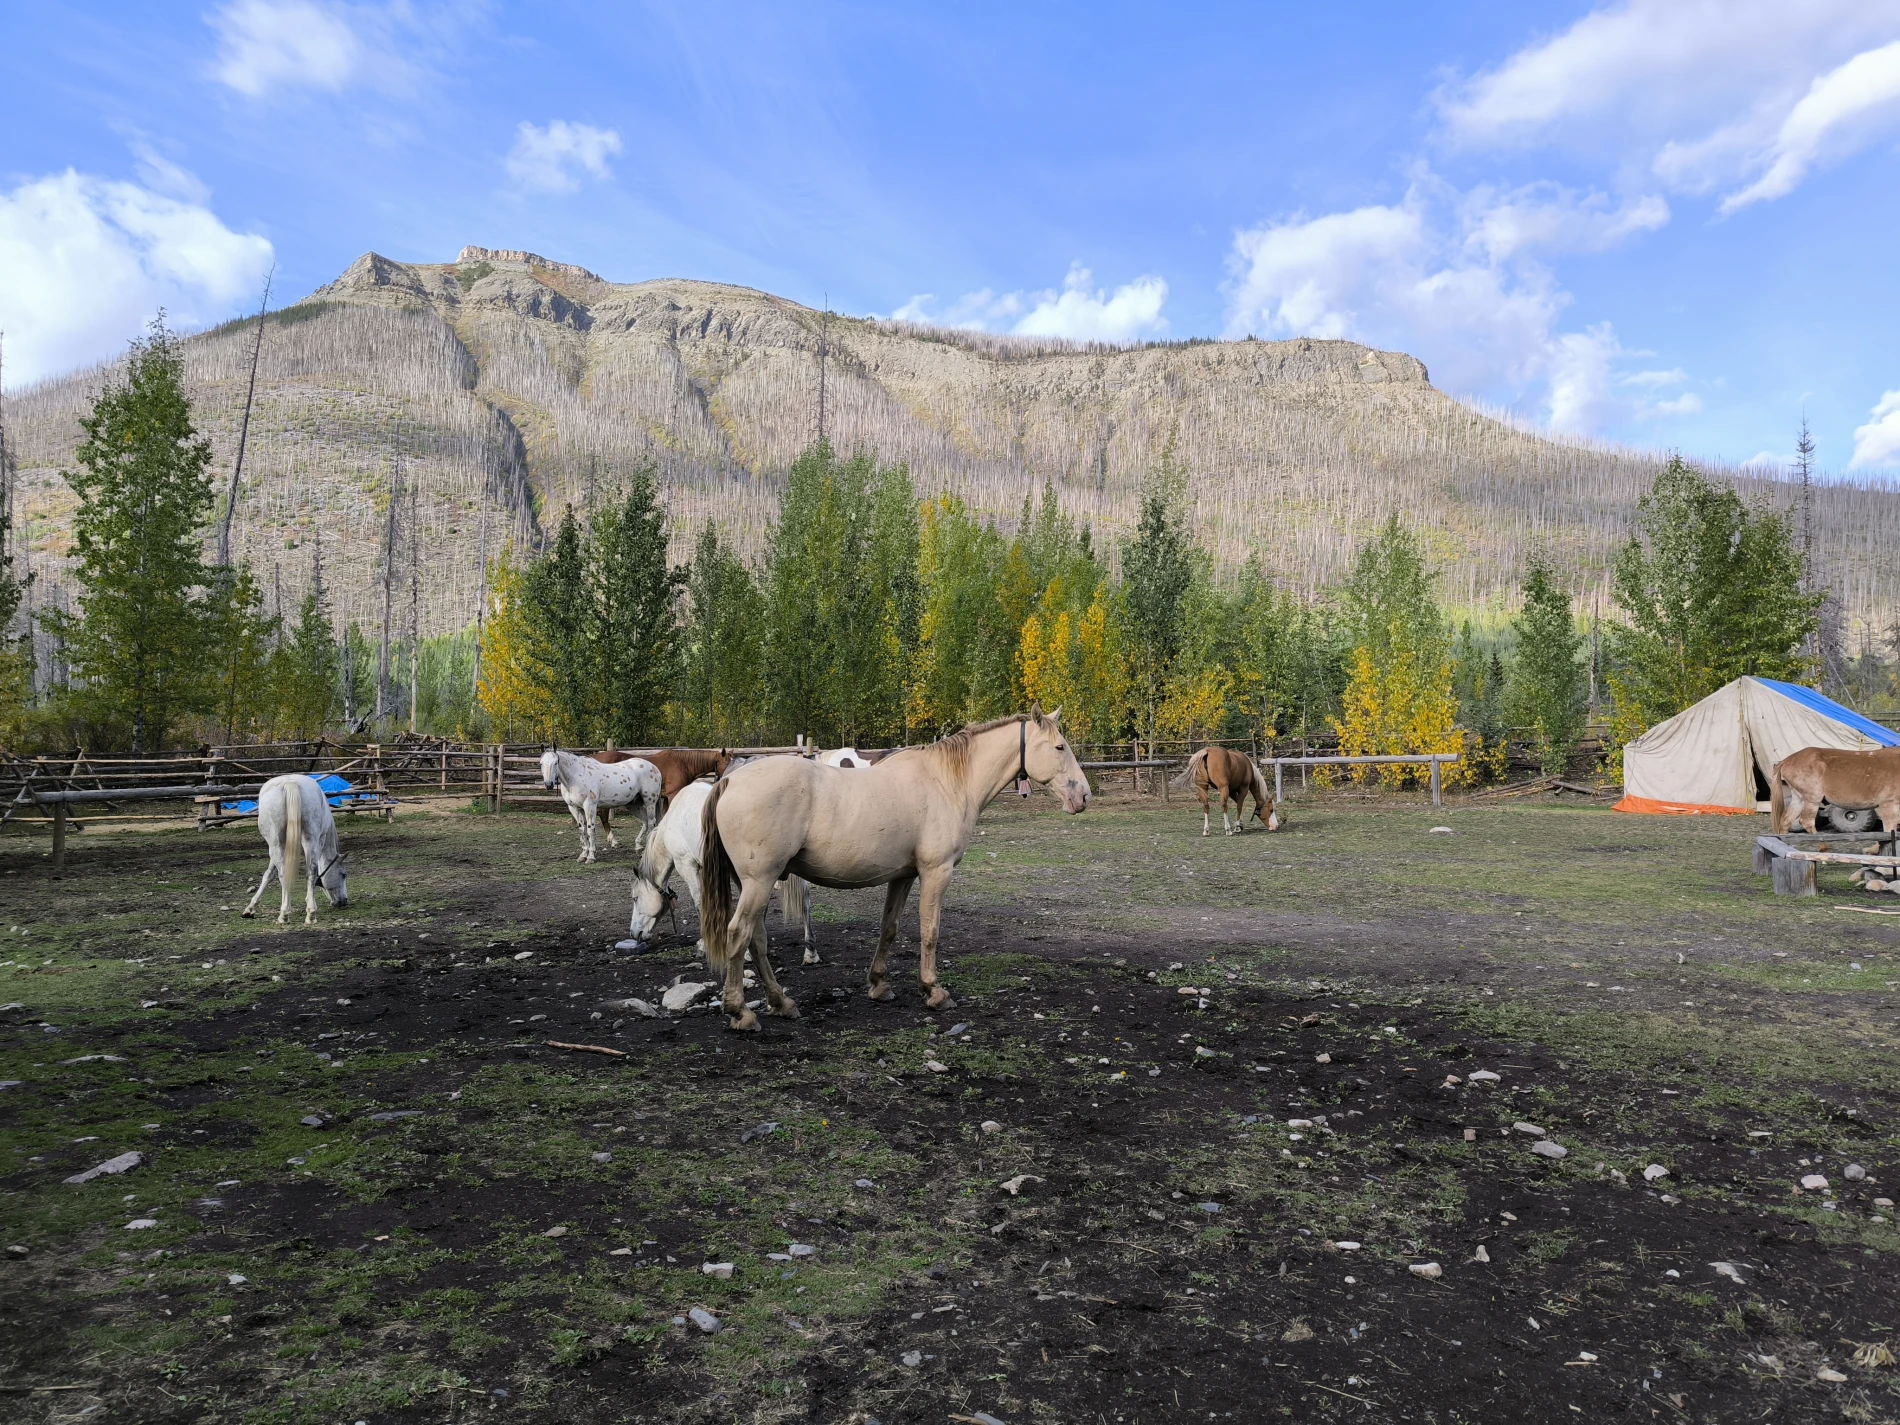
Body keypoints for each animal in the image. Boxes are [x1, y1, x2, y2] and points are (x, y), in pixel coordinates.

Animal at [242, 774, 349, 924]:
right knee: (310, 871)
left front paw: (251, 908)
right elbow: (270, 874)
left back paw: (285, 914)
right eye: (343, 874)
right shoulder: (318, 840)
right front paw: (251, 908)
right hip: (307, 840)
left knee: (287, 872)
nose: (343, 901)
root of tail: (290, 783)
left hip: (277, 844)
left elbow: (269, 874)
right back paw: (309, 913)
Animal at [627, 777, 818, 963]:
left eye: (635, 898)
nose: (634, 934)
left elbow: (699, 903)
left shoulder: (686, 865)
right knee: (805, 900)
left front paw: (704, 945)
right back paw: (809, 951)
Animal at [698, 707, 1091, 1032]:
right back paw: (741, 1012)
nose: (1083, 796)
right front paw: (934, 991)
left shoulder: (903, 876)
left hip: (752, 884)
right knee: (739, 934)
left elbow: (889, 928)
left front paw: (879, 985)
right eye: (1060, 747)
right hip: (759, 882)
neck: (948, 781)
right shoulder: (936, 872)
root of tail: (730, 780)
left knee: (757, 940)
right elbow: (930, 931)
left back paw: (781, 1002)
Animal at [1771, 745, 1900, 835]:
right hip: (1813, 798)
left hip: (1798, 799)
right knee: (1806, 821)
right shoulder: (1888, 804)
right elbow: (1890, 830)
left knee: (1785, 821)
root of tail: (1785, 761)